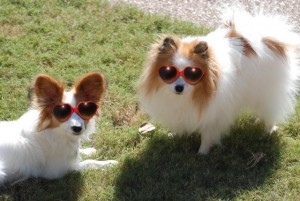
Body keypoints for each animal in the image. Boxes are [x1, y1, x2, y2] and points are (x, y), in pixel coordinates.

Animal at [138, 9, 300, 154]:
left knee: (271, 112)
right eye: (168, 72)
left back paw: (267, 131)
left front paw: (202, 153)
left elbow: (207, 135)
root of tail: (267, 38)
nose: (179, 87)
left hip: (267, 91)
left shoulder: (214, 114)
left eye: (193, 74)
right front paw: (175, 136)